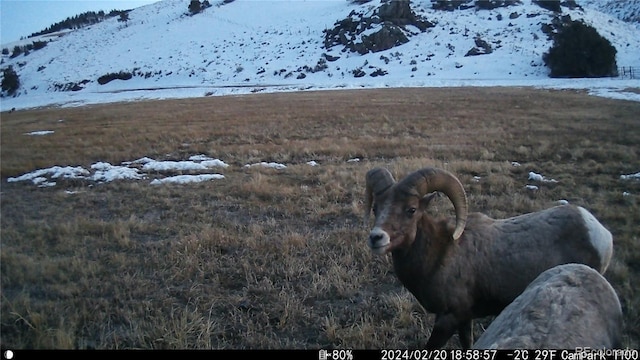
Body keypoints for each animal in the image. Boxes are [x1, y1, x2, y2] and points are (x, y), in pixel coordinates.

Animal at [362, 167, 612, 350]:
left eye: (411, 209)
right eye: (376, 208)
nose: (376, 238)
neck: (438, 255)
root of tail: (601, 233)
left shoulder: (448, 319)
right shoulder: (464, 319)